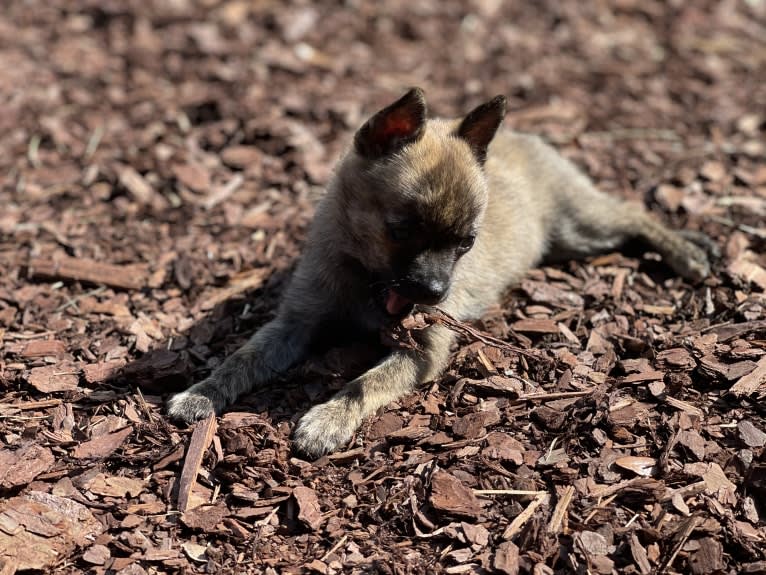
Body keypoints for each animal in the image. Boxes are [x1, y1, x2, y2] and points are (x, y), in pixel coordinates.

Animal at [170, 88, 712, 456]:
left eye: (466, 245)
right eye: (400, 231)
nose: (434, 292)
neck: (369, 283)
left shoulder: (422, 352)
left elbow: (365, 383)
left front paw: (327, 420)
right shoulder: (293, 326)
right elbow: (243, 357)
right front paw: (202, 393)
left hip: (580, 225)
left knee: (633, 215)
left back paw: (688, 250)